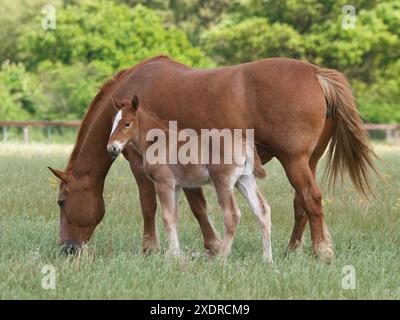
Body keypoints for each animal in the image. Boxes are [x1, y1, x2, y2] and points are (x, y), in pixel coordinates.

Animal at [107, 95, 272, 262]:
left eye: (127, 123)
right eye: (113, 123)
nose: (111, 148)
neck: (158, 142)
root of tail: (244, 143)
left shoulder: (163, 183)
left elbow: (167, 217)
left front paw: (172, 256)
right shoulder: (176, 186)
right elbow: (174, 217)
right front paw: (176, 254)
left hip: (222, 182)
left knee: (232, 215)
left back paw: (220, 258)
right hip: (245, 180)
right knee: (262, 210)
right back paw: (267, 259)